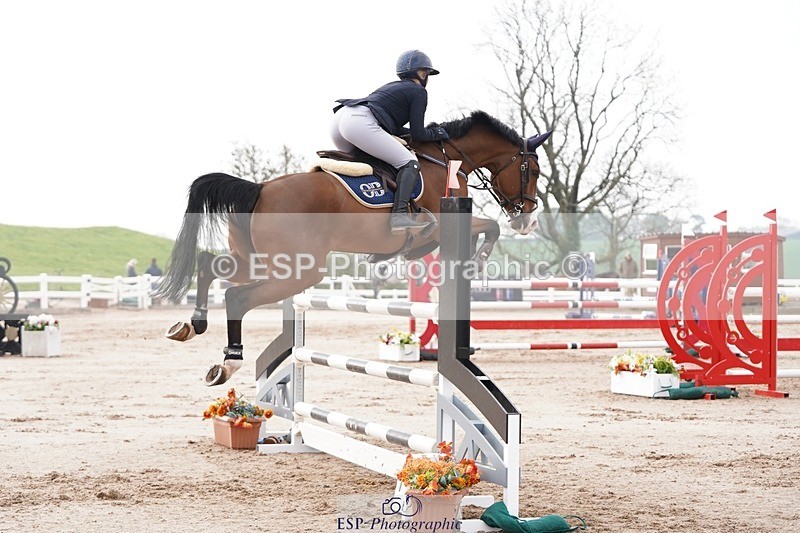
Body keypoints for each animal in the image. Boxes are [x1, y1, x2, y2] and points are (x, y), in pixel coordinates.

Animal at [157, 110, 551, 385]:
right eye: (533, 170)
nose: (528, 221)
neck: (445, 160)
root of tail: (259, 189)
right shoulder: (440, 227)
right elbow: (490, 227)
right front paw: (478, 260)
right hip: (298, 270)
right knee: (237, 296)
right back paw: (228, 363)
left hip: (256, 259)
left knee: (209, 265)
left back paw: (191, 324)